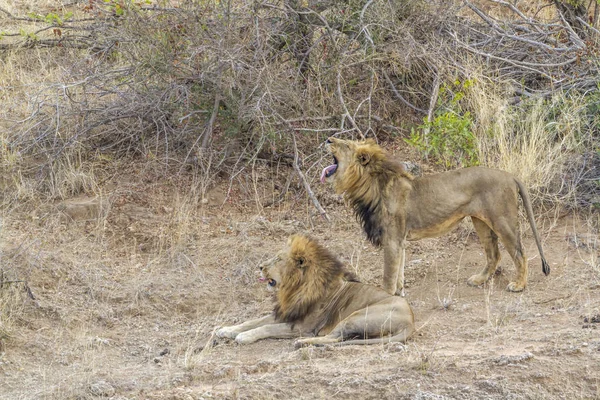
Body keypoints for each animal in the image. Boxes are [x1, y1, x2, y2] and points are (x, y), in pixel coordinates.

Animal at [217, 234, 418, 346]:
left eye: (278, 259)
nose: (259, 267)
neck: (293, 289)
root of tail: (410, 321)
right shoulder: (287, 312)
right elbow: (252, 321)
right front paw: (226, 330)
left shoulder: (303, 326)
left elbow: (266, 327)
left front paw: (244, 336)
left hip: (356, 316)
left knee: (335, 338)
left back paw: (302, 343)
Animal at [322, 136, 552, 296]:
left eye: (346, 145)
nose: (329, 139)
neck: (370, 187)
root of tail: (510, 176)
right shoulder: (399, 240)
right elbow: (399, 272)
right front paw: (399, 294)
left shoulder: (392, 238)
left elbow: (388, 275)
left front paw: (385, 298)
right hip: (480, 222)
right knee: (494, 254)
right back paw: (478, 280)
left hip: (502, 220)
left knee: (519, 253)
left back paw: (519, 285)